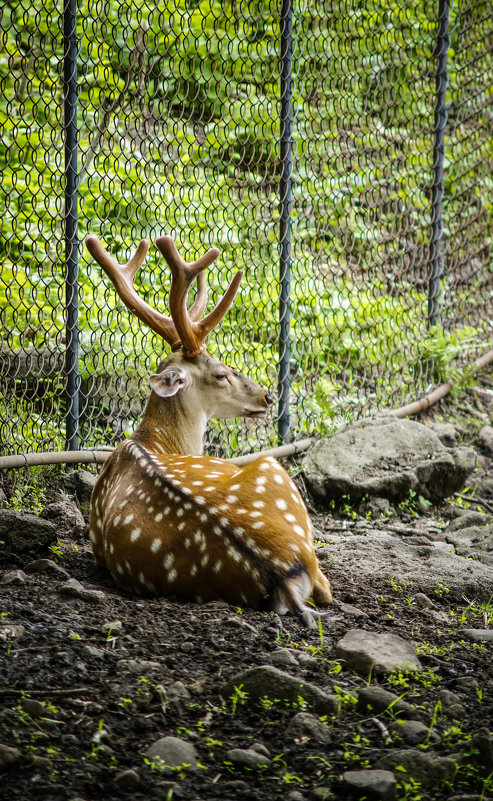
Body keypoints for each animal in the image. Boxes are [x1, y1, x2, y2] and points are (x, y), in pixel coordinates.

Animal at [85, 231, 330, 624]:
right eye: (221, 373)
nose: (266, 395)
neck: (154, 441)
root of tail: (282, 577)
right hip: (273, 469)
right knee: (324, 588)